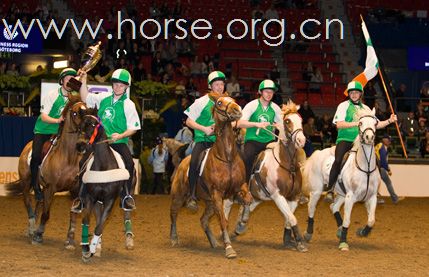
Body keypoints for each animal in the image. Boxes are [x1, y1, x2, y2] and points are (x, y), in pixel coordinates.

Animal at [10, 95, 88, 244]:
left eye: (87, 112)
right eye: (75, 113)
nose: (83, 142)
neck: (68, 157)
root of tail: (27, 146)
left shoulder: (74, 189)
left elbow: (73, 214)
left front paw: (70, 240)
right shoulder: (50, 188)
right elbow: (46, 214)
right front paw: (39, 235)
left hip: (40, 187)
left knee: (38, 202)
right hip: (26, 182)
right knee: (28, 201)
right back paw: (32, 228)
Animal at [75, 109, 135, 260]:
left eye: (92, 124)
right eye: (79, 126)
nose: (80, 145)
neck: (103, 165)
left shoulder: (110, 199)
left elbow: (99, 227)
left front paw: (91, 247)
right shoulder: (91, 198)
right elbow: (88, 221)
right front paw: (87, 248)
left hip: (126, 195)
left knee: (126, 213)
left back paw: (129, 240)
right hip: (98, 201)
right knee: (98, 219)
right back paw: (98, 246)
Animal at [169, 91, 252, 258]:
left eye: (233, 99)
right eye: (219, 103)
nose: (237, 110)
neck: (227, 158)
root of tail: (182, 163)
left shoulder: (239, 187)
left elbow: (248, 200)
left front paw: (242, 223)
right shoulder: (217, 194)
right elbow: (223, 221)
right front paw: (229, 248)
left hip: (210, 203)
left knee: (203, 220)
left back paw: (213, 242)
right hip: (179, 196)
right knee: (173, 214)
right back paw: (174, 238)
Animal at [224, 100, 308, 251]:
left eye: (300, 119)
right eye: (287, 121)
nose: (301, 140)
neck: (287, 165)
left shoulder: (294, 197)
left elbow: (289, 218)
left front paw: (288, 240)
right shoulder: (278, 196)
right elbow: (292, 218)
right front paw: (300, 242)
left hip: (257, 197)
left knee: (245, 208)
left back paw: (240, 226)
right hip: (230, 195)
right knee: (225, 211)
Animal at [300, 108, 378, 250]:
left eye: (375, 123)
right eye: (360, 123)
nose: (369, 137)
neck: (366, 168)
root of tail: (317, 153)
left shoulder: (372, 197)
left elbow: (371, 220)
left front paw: (362, 232)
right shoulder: (350, 197)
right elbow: (347, 220)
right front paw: (343, 243)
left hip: (341, 194)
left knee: (333, 207)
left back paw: (340, 230)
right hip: (317, 191)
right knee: (311, 208)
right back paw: (308, 233)